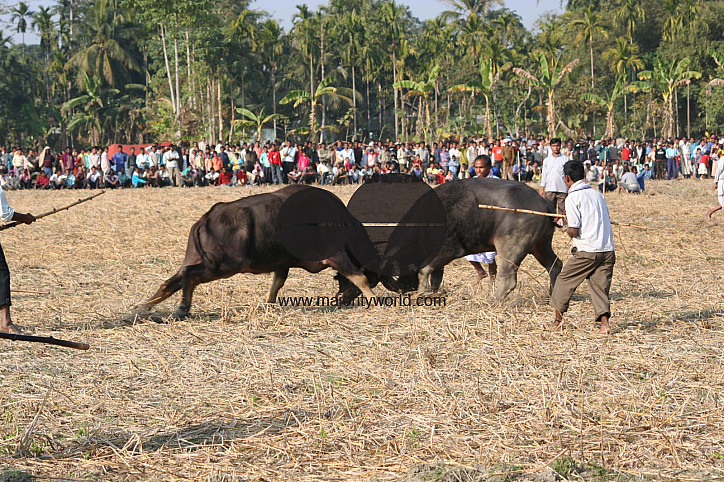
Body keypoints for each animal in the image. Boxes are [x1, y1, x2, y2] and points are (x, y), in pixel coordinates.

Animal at [134, 186, 378, 318]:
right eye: (375, 277)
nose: (341, 300)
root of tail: (206, 219)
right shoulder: (338, 256)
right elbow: (359, 277)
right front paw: (374, 300)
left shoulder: (283, 263)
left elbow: (277, 284)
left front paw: (268, 303)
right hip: (222, 266)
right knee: (189, 276)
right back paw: (183, 308)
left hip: (197, 260)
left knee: (170, 282)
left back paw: (143, 306)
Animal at [342, 177, 564, 302]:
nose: (407, 288)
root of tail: (543, 202)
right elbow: (435, 276)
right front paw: (431, 291)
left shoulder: (447, 251)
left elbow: (425, 270)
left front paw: (421, 292)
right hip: (540, 245)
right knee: (555, 265)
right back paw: (552, 295)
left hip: (511, 247)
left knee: (508, 278)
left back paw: (493, 300)